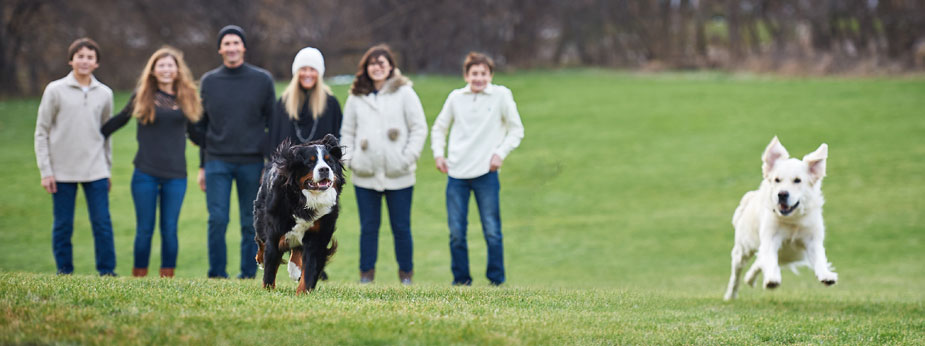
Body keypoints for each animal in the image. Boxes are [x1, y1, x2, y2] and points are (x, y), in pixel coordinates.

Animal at [253, 134, 342, 294]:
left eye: (329, 161)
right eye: (310, 162)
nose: (324, 169)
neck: (304, 200)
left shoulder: (318, 235)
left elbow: (310, 269)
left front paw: (303, 293)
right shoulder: (274, 232)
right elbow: (270, 265)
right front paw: (268, 290)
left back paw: (295, 269)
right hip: (260, 218)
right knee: (261, 240)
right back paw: (261, 259)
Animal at [724, 136, 832, 300]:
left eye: (797, 180)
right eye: (777, 180)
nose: (782, 194)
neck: (792, 220)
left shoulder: (812, 238)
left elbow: (819, 257)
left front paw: (826, 275)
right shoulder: (770, 237)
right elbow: (769, 257)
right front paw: (772, 279)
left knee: (758, 262)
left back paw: (750, 279)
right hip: (743, 248)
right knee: (737, 272)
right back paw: (731, 294)